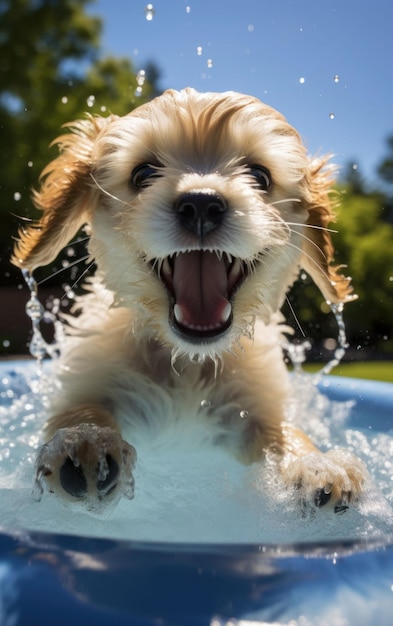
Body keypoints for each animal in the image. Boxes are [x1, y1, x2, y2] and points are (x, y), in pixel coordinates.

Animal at [13, 89, 368, 512]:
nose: (201, 203)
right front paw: (86, 440)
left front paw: (315, 462)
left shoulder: (254, 405)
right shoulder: (91, 377)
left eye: (259, 176)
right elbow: (79, 410)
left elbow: (281, 434)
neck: (188, 360)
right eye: (143, 174)